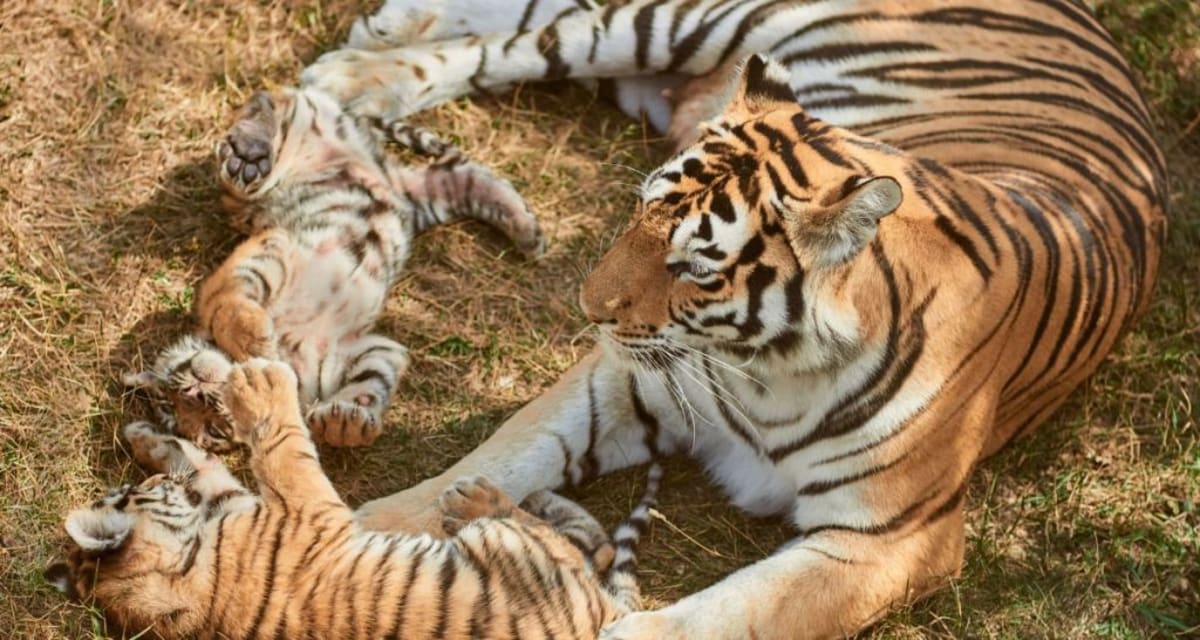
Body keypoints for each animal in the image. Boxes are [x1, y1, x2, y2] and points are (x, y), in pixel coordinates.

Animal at [47, 360, 661, 639]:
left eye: (126, 490)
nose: (140, 484)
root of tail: (608, 617)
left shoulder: (238, 503)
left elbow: (206, 465)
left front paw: (146, 438)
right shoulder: (307, 512)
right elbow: (285, 447)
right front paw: (261, 382)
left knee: (597, 546)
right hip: (514, 556)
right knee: (571, 544)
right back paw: (479, 498)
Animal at [124, 87, 544, 450]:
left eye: (177, 384)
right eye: (211, 429)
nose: (197, 394)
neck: (289, 349)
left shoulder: (275, 246)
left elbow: (222, 303)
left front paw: (255, 341)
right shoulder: (369, 349)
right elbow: (373, 382)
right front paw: (345, 422)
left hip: (299, 133)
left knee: (270, 103)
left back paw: (248, 151)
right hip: (427, 199)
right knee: (465, 178)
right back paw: (529, 232)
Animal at [293, 0, 1170, 637]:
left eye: (693, 265)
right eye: (639, 211)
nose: (587, 307)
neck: (772, 369)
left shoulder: (889, 538)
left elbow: (732, 613)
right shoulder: (623, 380)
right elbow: (505, 453)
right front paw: (371, 529)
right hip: (692, 22)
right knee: (525, 41)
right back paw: (356, 75)